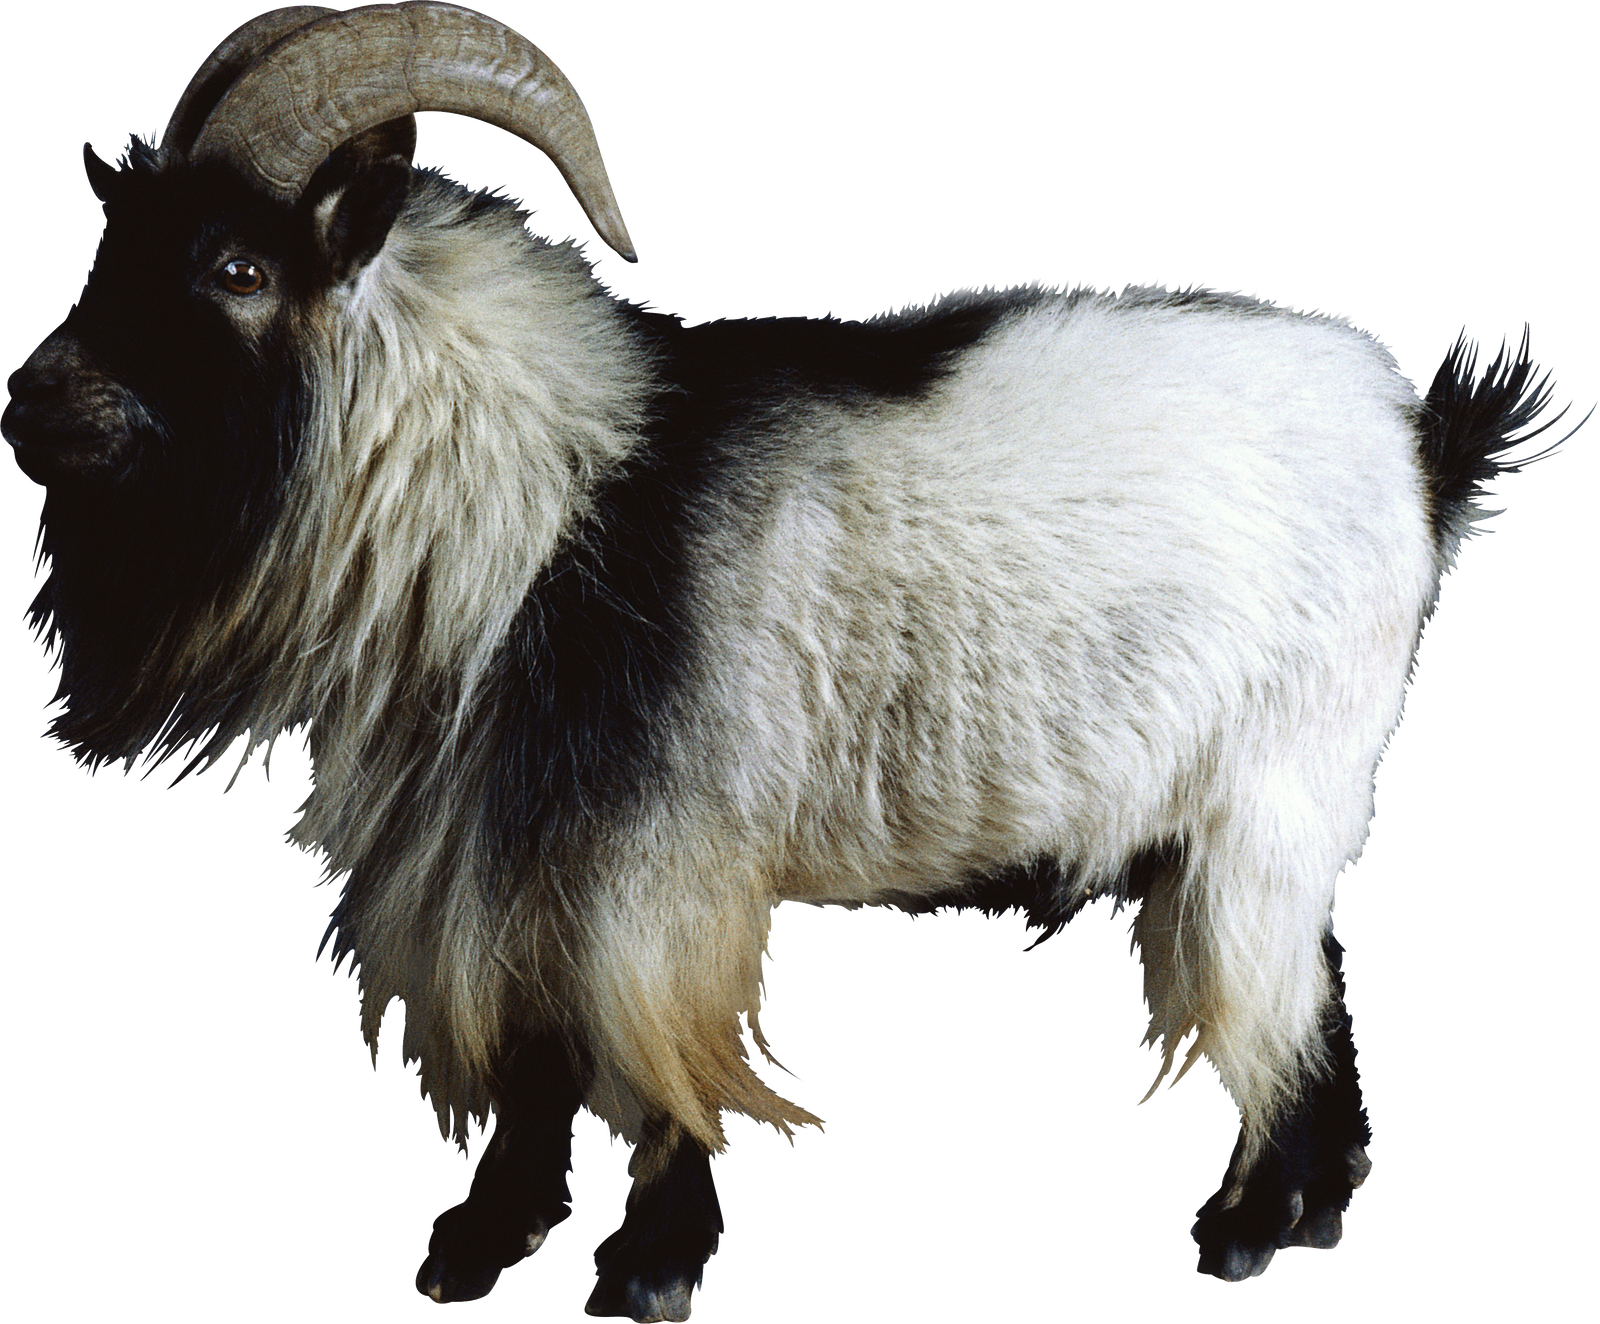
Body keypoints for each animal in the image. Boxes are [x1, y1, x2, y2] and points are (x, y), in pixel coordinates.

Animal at [4, 3, 1591, 1316]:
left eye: (233, 266)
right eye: (112, 244)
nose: (30, 402)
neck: (550, 496)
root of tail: (1423, 444)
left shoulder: (656, 855)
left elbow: (649, 1044)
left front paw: (646, 1269)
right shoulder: (506, 847)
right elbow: (531, 1052)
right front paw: (478, 1249)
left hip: (1270, 788)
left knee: (1274, 994)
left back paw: (1250, 1226)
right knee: (1318, 981)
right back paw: (1308, 1213)